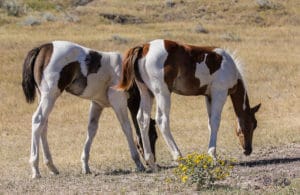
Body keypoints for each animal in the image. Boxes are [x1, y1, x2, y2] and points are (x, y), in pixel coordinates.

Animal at [21, 40, 158, 178]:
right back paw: (35, 170)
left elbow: (91, 130)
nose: (153, 161)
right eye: (153, 136)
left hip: (43, 97)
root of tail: (43, 48)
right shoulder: (118, 101)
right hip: (50, 96)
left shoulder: (97, 104)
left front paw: (85, 166)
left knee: (43, 126)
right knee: (38, 120)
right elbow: (127, 128)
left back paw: (52, 167)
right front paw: (138, 163)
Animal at [117, 38, 260, 170]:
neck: (229, 67)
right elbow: (215, 122)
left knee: (142, 119)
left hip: (147, 93)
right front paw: (213, 156)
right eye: (253, 124)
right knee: (162, 120)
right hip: (162, 93)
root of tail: (144, 47)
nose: (248, 150)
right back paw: (179, 157)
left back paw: (151, 162)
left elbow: (210, 123)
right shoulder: (219, 93)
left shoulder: (208, 96)